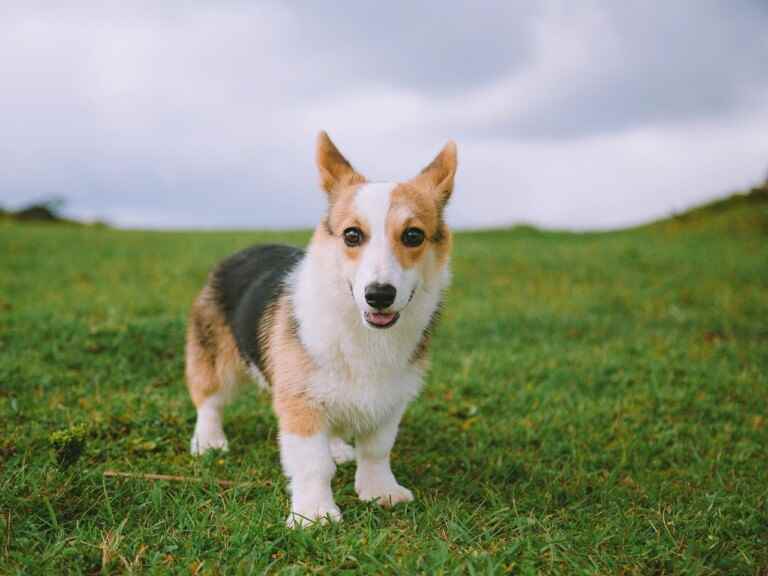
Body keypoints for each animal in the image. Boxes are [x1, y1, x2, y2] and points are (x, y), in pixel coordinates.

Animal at [185, 132, 456, 528]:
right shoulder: (300, 403)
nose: (379, 295)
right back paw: (208, 441)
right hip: (215, 358)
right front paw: (313, 514)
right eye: (352, 235)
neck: (362, 331)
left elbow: (377, 449)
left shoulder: (390, 399)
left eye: (413, 235)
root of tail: (243, 250)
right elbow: (313, 464)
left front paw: (380, 491)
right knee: (209, 401)